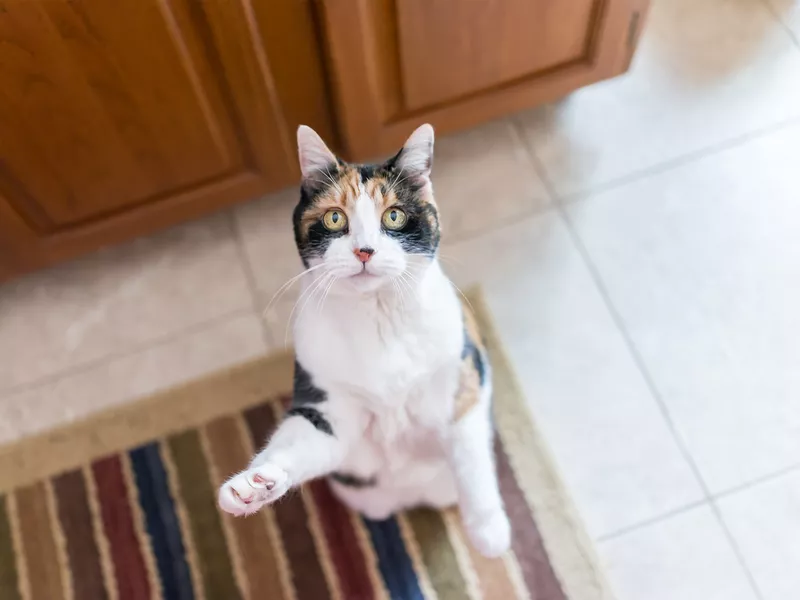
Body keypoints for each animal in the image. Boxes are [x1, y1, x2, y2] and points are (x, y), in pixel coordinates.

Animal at [216, 123, 510, 556]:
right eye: (335, 218)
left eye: (395, 215)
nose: (364, 251)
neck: (378, 319)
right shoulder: (329, 405)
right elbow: (302, 441)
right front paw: (253, 486)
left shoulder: (462, 381)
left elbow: (470, 455)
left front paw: (488, 529)